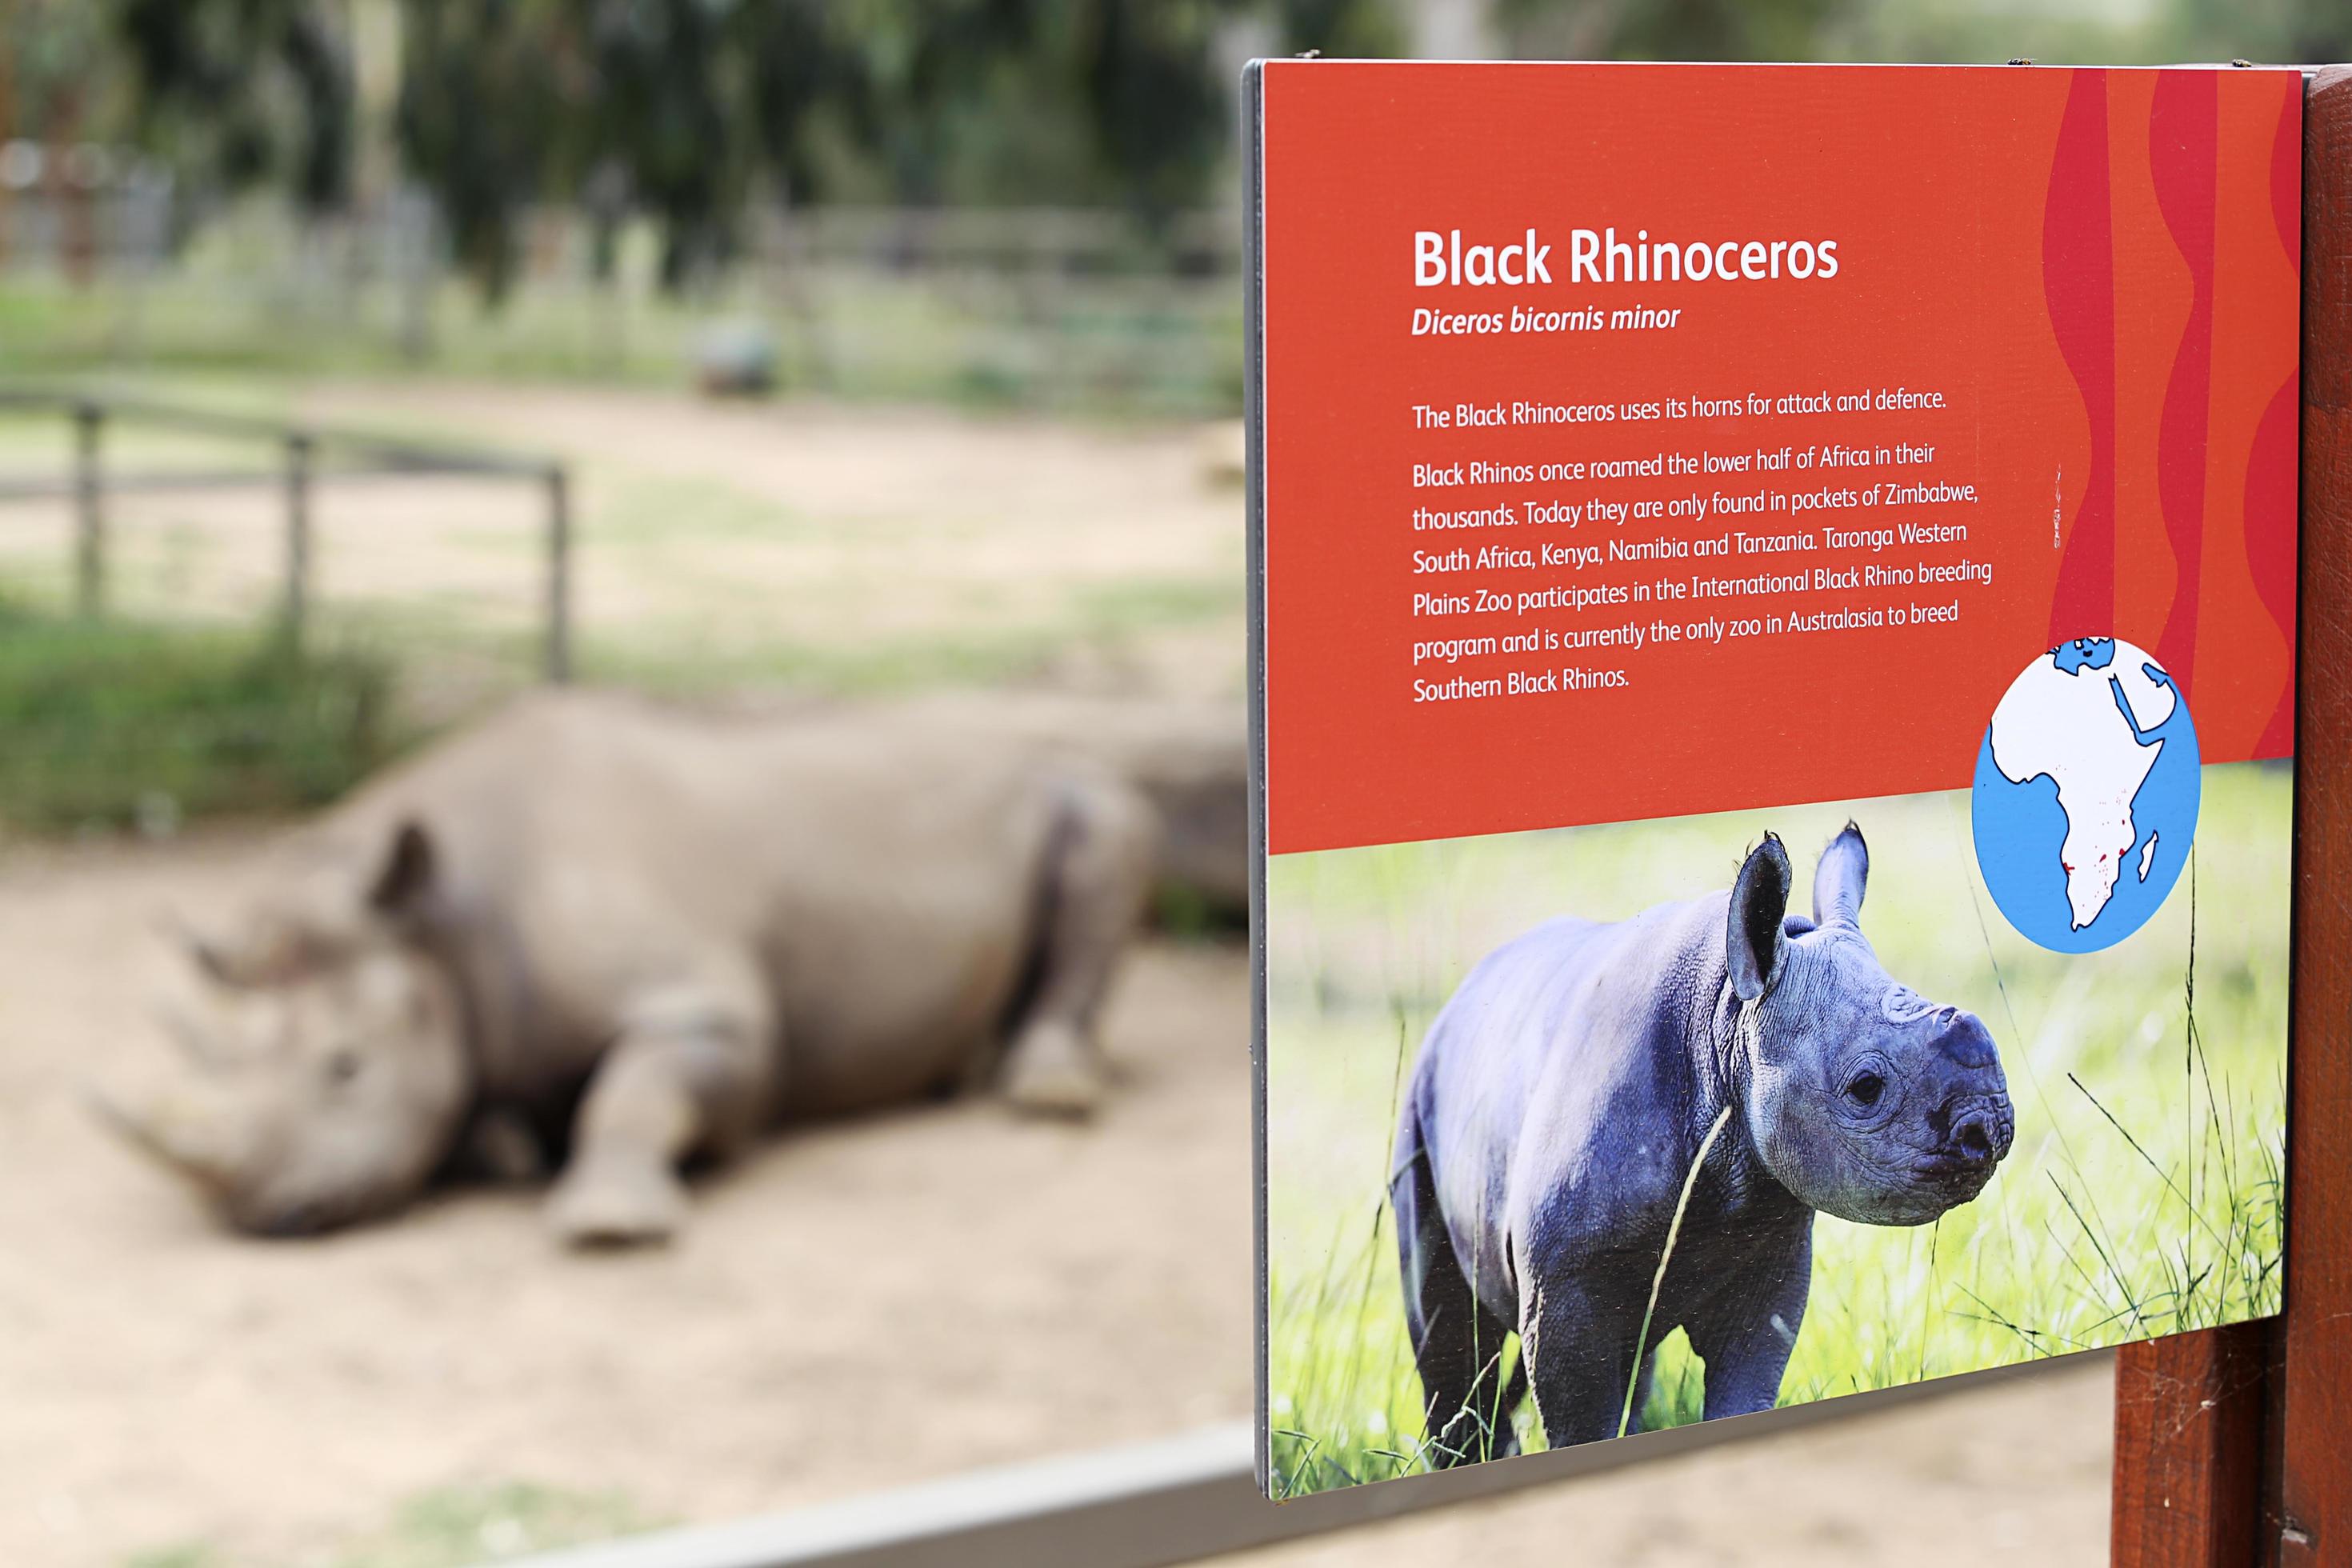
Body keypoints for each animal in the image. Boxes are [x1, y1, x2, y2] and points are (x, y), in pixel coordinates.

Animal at [93, 690, 1227, 1246]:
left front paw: (608, 1224)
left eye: (345, 1069)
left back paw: (1047, 1093)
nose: (264, 1220)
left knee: (1110, 835)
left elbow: (636, 1088)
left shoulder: (712, 1014)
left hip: (1089, 785)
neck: (439, 919)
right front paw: (505, 1147)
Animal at [1392, 825, 2012, 1461]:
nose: (1991, 1128)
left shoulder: (1768, 1255)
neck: (1726, 1021)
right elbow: (1578, 1418)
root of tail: (1463, 994)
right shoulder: (1562, 1290)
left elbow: (1745, 1383)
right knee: (1447, 1333)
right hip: (1421, 1101)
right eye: (1866, 1088)